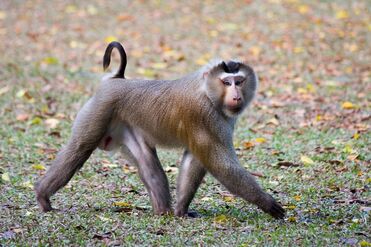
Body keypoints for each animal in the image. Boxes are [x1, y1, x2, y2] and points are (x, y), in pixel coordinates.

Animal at [35, 41, 284, 219]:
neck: (207, 92)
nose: (236, 95)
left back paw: (162, 210)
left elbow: (195, 160)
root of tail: (117, 79)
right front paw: (266, 202)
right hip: (100, 109)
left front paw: (181, 211)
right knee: (79, 148)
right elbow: (219, 163)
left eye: (239, 81)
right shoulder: (203, 115)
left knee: (147, 161)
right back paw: (42, 195)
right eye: (226, 82)